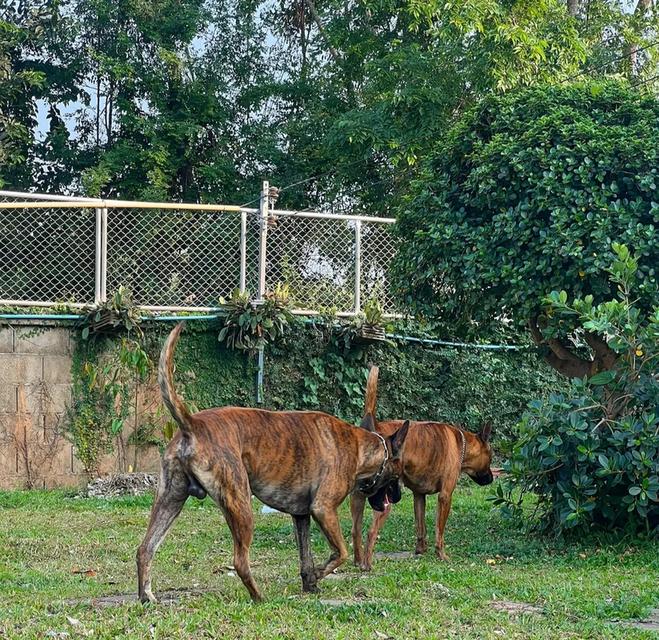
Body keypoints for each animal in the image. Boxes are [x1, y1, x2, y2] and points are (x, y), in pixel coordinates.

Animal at [137, 324, 410, 604]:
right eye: (397, 475)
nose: (398, 497)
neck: (359, 446)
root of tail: (192, 424)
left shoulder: (301, 516)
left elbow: (305, 556)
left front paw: (310, 583)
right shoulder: (323, 509)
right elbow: (341, 552)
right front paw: (320, 574)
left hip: (170, 500)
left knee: (145, 549)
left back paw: (146, 596)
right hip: (240, 504)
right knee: (240, 560)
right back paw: (258, 597)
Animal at [354, 364, 492, 568]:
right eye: (490, 457)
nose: (491, 479)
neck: (463, 443)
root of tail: (374, 426)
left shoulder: (419, 496)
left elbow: (421, 527)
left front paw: (420, 551)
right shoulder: (445, 496)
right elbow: (439, 531)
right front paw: (441, 554)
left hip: (357, 496)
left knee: (355, 531)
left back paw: (357, 561)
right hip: (384, 500)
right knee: (371, 532)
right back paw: (367, 564)